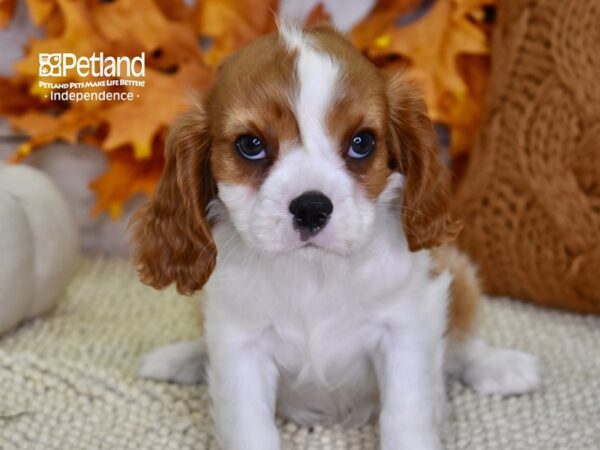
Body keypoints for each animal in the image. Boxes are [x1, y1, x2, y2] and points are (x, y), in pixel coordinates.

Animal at [132, 24, 544, 450]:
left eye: (361, 143)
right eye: (251, 145)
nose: (311, 207)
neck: (314, 270)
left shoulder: (407, 328)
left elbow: (406, 415)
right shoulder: (239, 343)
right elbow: (250, 426)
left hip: (459, 274)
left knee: (462, 342)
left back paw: (499, 366)